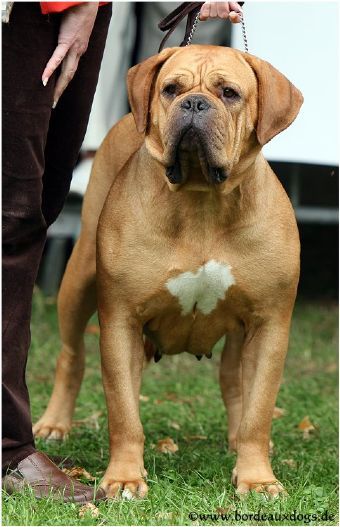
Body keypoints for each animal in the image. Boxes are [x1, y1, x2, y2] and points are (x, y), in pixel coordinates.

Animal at [34, 45, 304, 500]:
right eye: (171, 89)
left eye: (229, 93)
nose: (193, 104)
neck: (201, 199)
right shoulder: (121, 321)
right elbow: (124, 411)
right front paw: (124, 477)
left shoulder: (270, 325)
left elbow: (259, 410)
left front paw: (256, 477)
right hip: (79, 281)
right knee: (72, 355)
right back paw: (54, 424)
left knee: (234, 380)